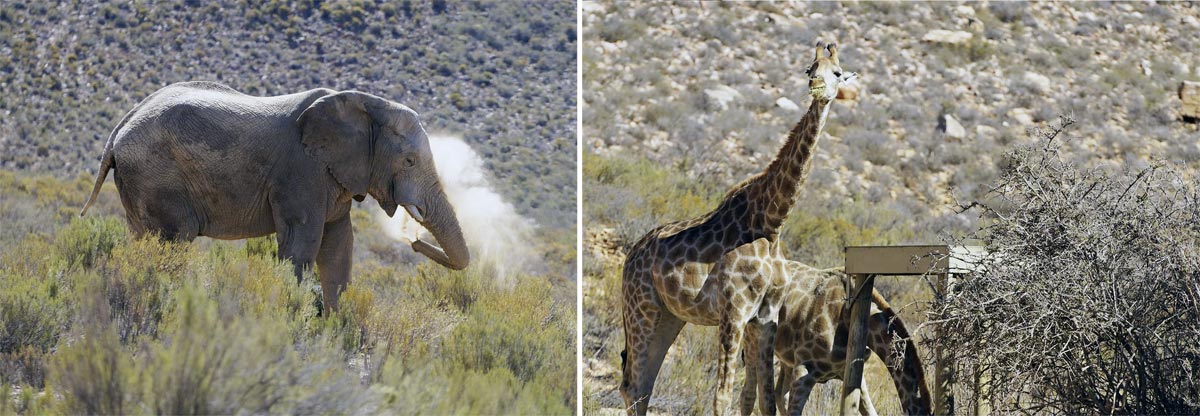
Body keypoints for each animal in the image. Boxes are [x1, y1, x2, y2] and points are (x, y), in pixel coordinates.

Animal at [80, 81, 470, 310]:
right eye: (409, 161)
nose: (415, 241)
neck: (365, 104)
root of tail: (119, 128)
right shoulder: (301, 171)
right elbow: (303, 243)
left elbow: (338, 248)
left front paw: (337, 329)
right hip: (157, 175)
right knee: (172, 241)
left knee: (144, 240)